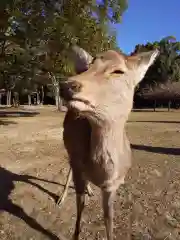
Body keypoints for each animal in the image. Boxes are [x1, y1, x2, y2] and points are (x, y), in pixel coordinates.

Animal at [58, 45, 159, 240]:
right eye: (87, 67)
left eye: (118, 71)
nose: (67, 85)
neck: (101, 173)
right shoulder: (78, 167)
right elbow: (80, 210)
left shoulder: (113, 185)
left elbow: (109, 219)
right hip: (69, 150)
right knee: (69, 169)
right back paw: (61, 198)